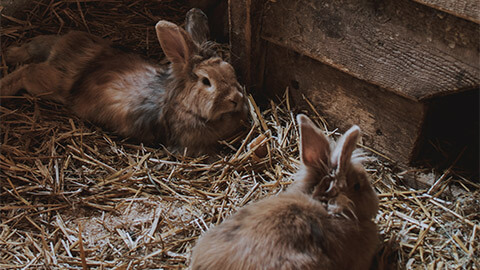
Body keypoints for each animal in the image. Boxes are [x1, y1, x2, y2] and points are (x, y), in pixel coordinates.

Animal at [0, 8, 248, 155]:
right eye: (206, 82)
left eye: (230, 71)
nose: (236, 99)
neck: (184, 106)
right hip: (49, 83)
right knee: (27, 71)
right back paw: (4, 86)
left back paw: (10, 54)